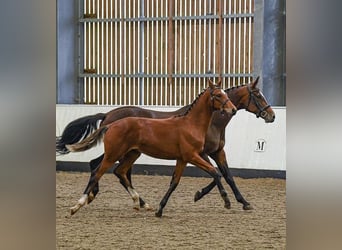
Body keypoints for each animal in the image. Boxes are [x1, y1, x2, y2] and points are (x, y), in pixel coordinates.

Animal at [56, 77, 276, 210]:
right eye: (257, 95)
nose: (272, 116)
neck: (211, 121)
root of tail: (108, 115)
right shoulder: (201, 154)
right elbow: (217, 175)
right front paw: (200, 195)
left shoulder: (217, 152)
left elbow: (228, 175)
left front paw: (244, 202)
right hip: (120, 151)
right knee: (100, 167)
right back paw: (93, 197)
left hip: (131, 152)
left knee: (118, 171)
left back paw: (137, 202)